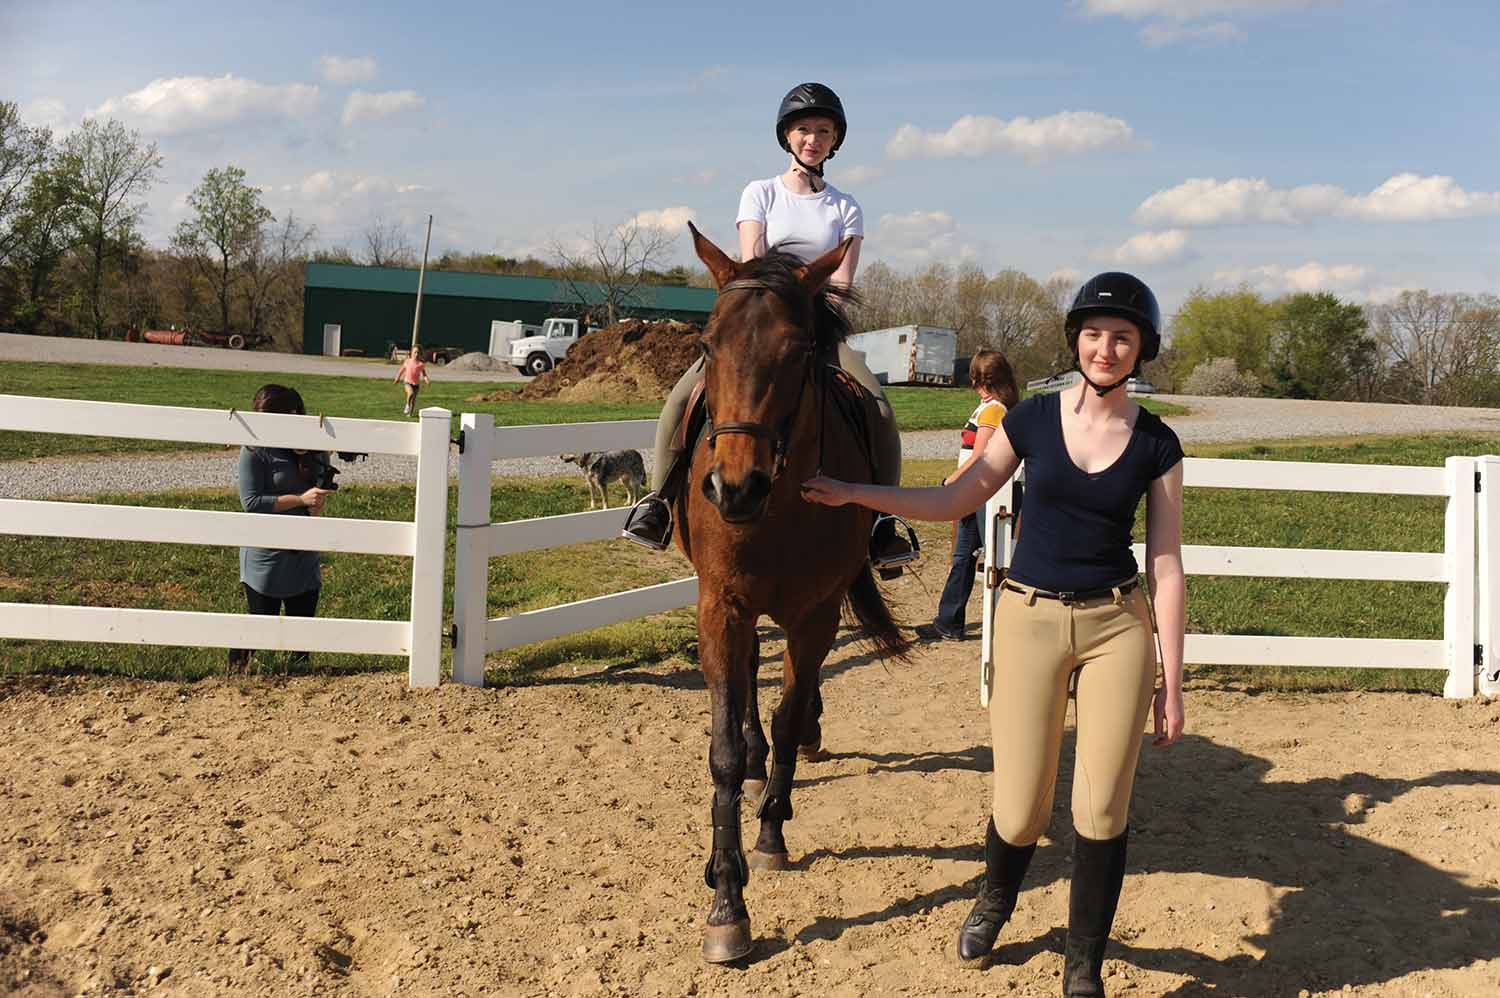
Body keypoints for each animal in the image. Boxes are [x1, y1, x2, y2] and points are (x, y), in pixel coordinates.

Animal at [678, 223, 906, 960]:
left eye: (800, 349)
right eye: (707, 345)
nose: (733, 488)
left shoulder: (814, 612)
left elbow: (787, 711)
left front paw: (772, 833)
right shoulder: (721, 607)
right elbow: (724, 747)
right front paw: (726, 901)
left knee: (791, 701)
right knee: (752, 678)